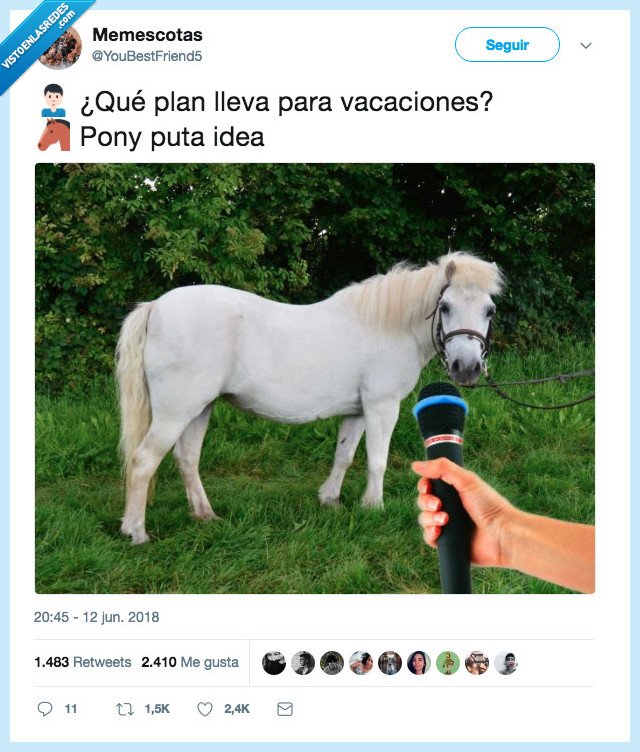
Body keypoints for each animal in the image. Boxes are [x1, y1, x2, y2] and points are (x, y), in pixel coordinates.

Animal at [116, 251, 503, 544]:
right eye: (446, 306)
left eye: (489, 310)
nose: (466, 368)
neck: (387, 326)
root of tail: (155, 307)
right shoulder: (382, 406)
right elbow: (376, 460)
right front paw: (374, 507)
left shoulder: (357, 411)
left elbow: (344, 455)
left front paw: (330, 500)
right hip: (175, 412)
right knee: (144, 461)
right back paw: (136, 532)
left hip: (199, 408)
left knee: (187, 459)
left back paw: (205, 514)